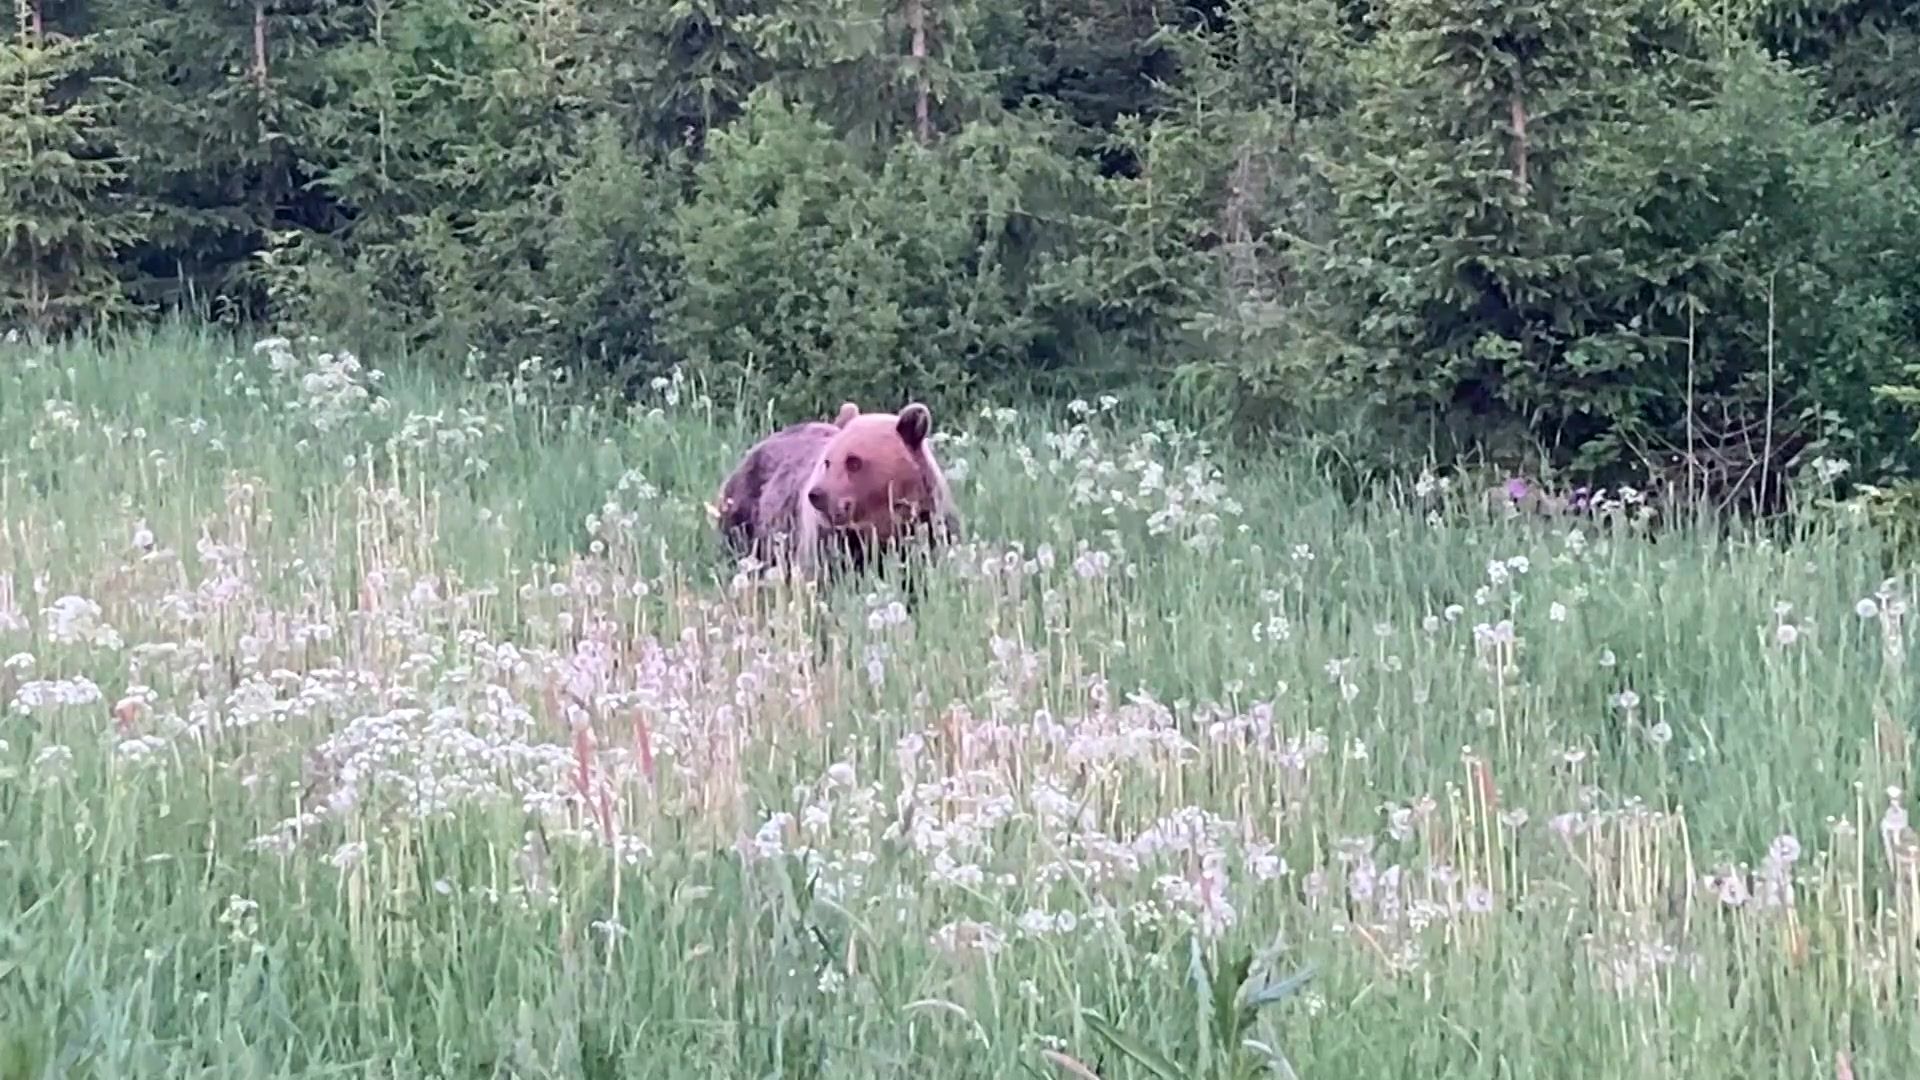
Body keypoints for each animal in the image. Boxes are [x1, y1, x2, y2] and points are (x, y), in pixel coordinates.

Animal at [714, 399, 960, 576]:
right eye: (828, 461)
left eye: (854, 461)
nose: (817, 494)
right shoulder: (833, 541)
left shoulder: (929, 526)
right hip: (747, 519)